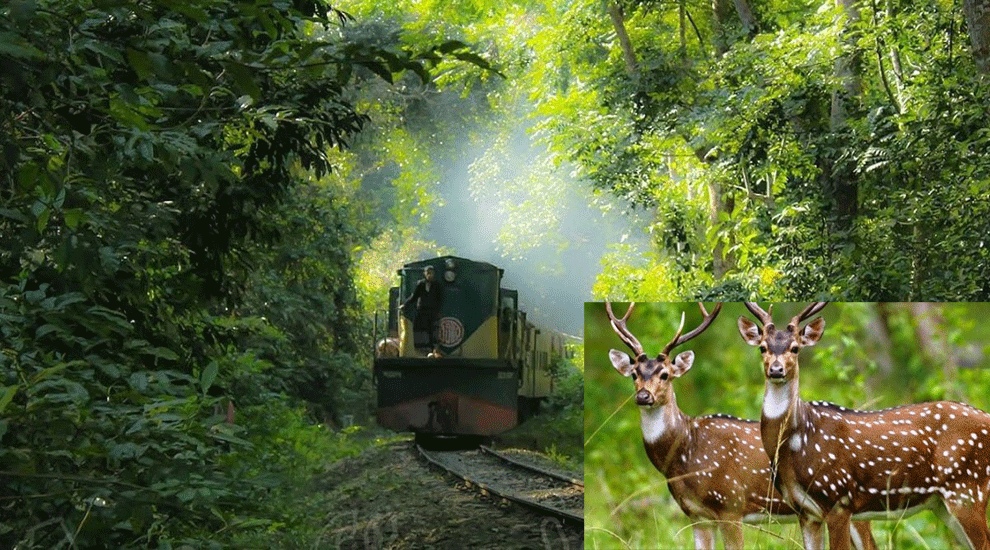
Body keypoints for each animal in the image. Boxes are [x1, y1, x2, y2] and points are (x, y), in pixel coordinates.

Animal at [604, 304, 876, 548]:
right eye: (634, 374)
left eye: (665, 374)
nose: (643, 396)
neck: (685, 453)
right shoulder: (696, 514)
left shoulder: (730, 503)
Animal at [740, 304, 990, 548]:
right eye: (762, 347)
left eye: (795, 348)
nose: (776, 370)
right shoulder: (806, 512)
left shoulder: (839, 499)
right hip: (942, 503)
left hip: (968, 489)